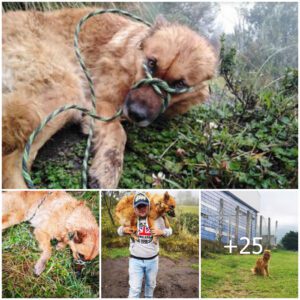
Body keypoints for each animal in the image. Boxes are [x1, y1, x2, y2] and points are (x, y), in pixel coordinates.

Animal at [2, 7, 218, 188]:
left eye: (179, 84)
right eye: (151, 64)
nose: (136, 114)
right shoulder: (102, 102)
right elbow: (118, 132)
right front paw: (108, 169)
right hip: (67, 92)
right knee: (10, 164)